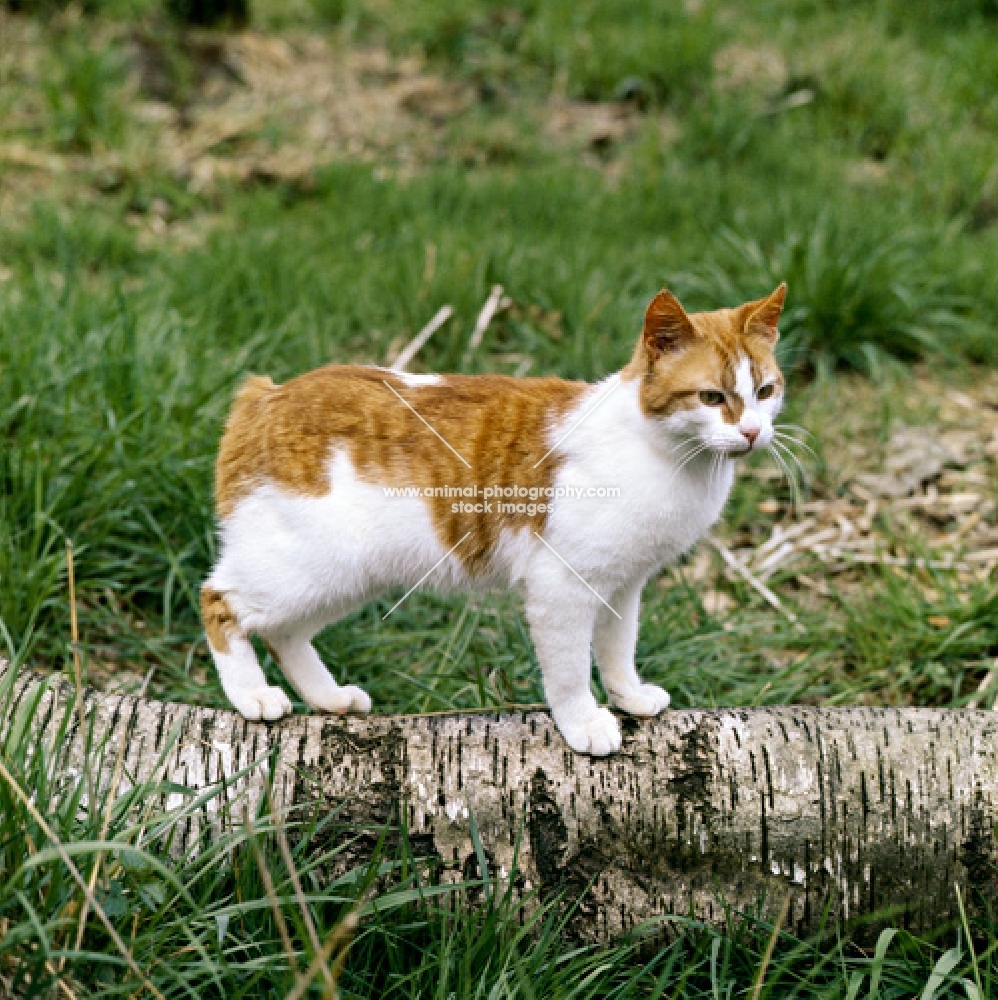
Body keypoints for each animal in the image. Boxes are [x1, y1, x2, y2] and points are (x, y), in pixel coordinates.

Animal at [199, 280, 784, 752]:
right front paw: (584, 724)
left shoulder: (622, 585)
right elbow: (570, 669)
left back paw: (329, 698)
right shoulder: (561, 586)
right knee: (220, 601)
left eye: (765, 391)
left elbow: (618, 648)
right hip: (309, 567)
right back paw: (253, 695)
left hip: (345, 577)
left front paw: (629, 696)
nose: (753, 431)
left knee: (284, 633)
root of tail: (267, 394)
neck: (663, 455)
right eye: (711, 397)